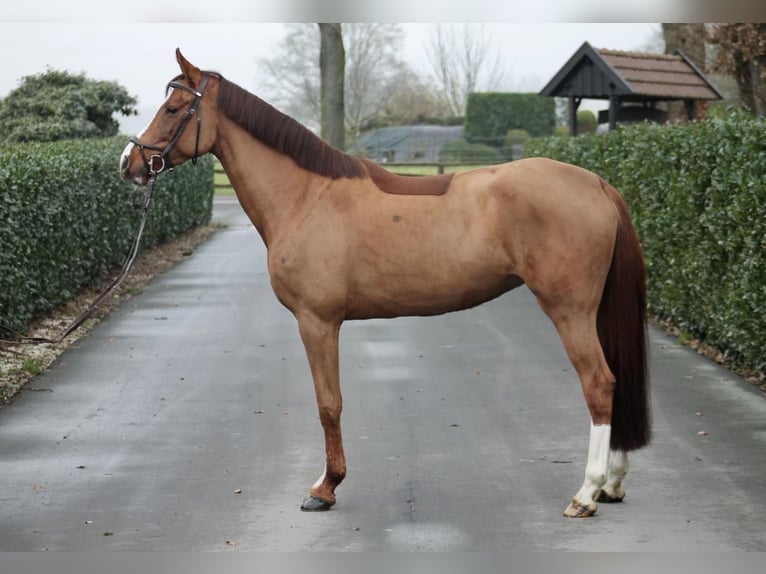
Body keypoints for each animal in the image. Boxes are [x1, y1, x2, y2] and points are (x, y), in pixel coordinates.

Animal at [118, 48, 648, 516]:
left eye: (173, 108)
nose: (129, 163)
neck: (306, 196)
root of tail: (597, 183)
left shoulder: (317, 321)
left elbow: (328, 404)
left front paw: (325, 488)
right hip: (594, 312)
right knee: (616, 379)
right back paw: (614, 484)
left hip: (570, 311)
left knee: (599, 384)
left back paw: (586, 493)